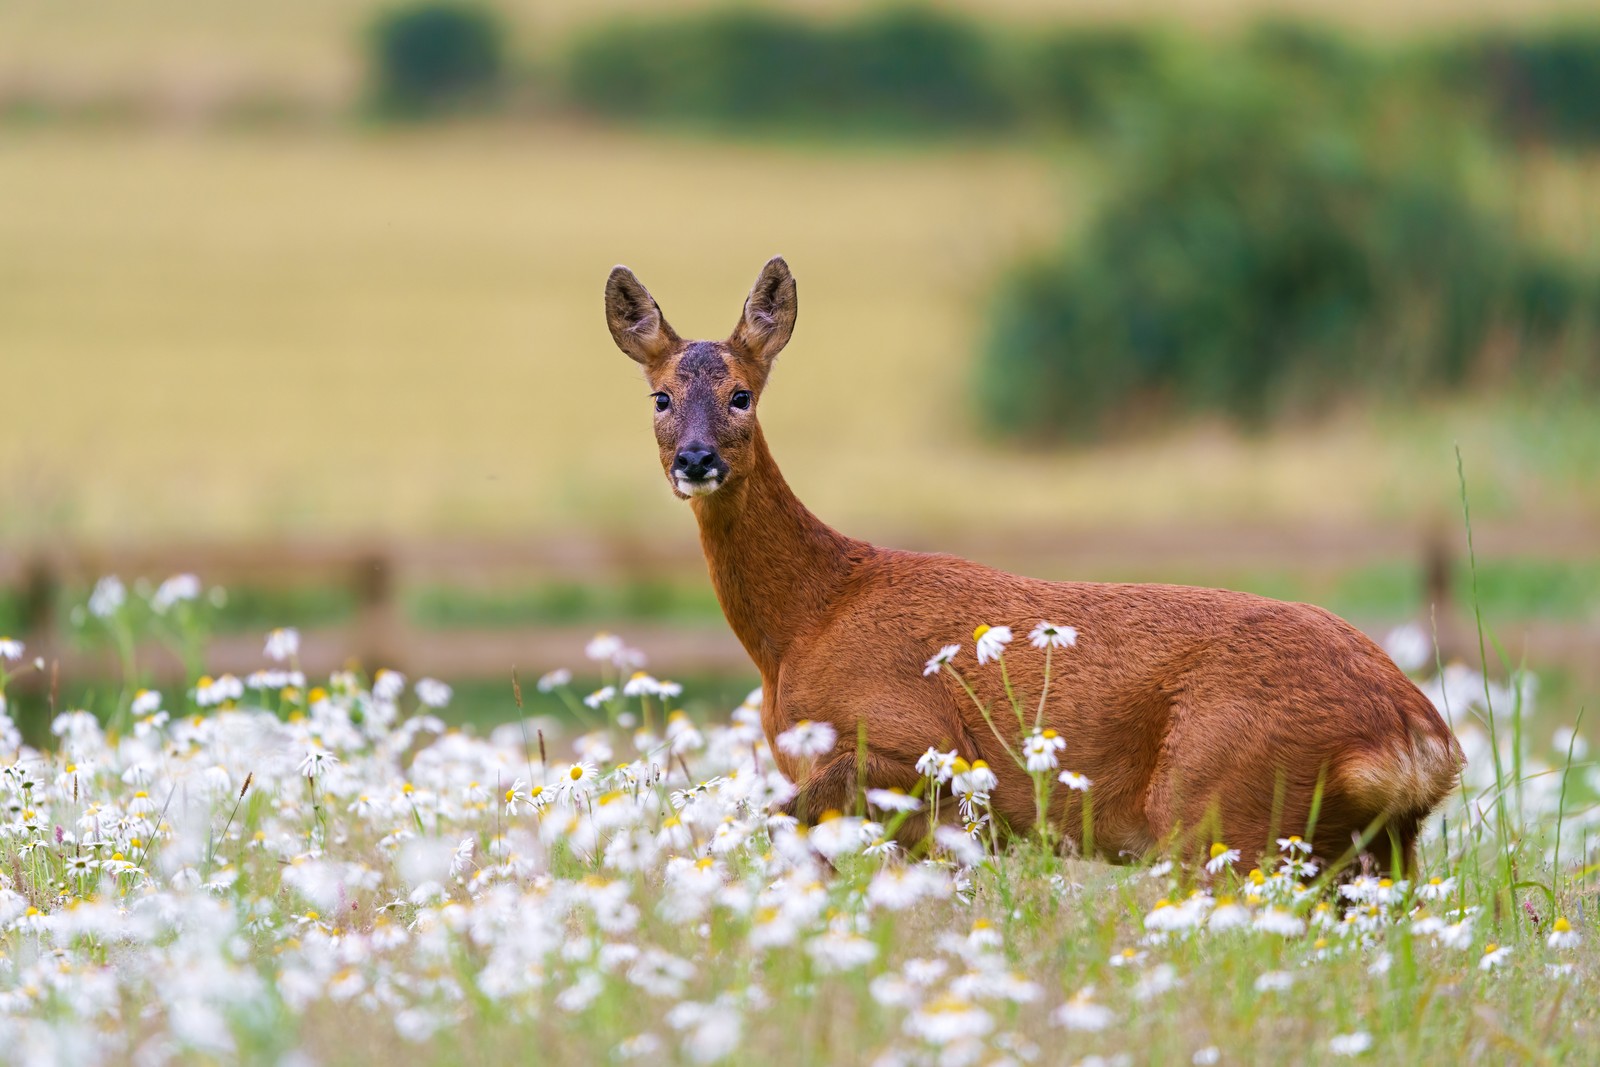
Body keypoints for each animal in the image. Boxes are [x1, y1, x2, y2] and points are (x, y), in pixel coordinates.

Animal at [601, 254, 1465, 870]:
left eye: (742, 394)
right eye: (660, 397)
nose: (698, 459)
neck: (808, 619)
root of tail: (1418, 736)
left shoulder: (918, 743)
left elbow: (781, 818)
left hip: (1228, 805)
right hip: (1367, 851)